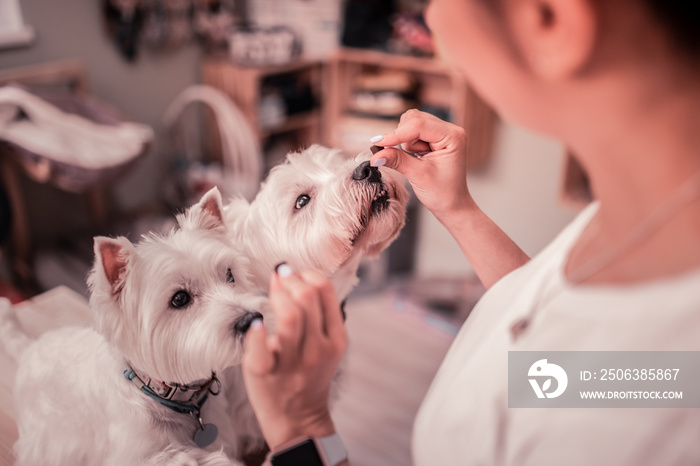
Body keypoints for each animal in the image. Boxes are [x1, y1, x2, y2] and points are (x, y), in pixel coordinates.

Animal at [0, 189, 266, 466]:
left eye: (230, 275)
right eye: (180, 298)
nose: (251, 319)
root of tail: (29, 346)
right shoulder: (135, 452)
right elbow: (186, 458)